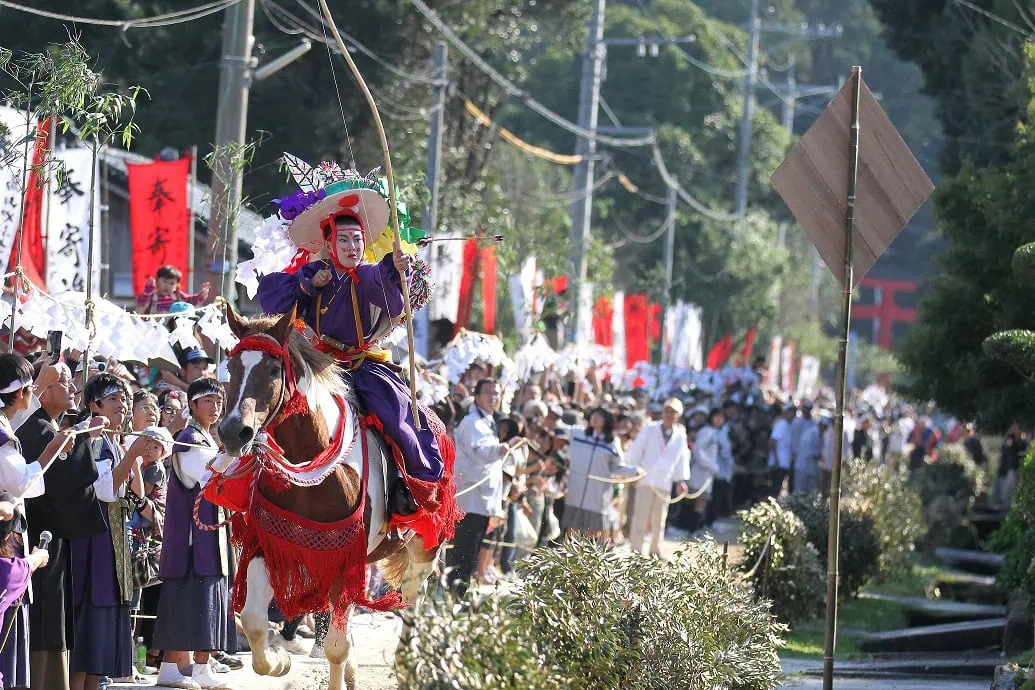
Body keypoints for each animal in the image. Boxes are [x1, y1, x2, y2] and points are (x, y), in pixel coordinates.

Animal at [214, 308, 440, 690]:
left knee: (411, 599)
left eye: (273, 370)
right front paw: (280, 661)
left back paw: (405, 663)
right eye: (231, 368)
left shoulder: (344, 559)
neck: (312, 466)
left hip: (424, 544)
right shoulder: (269, 545)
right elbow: (255, 622)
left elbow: (335, 647)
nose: (233, 432)